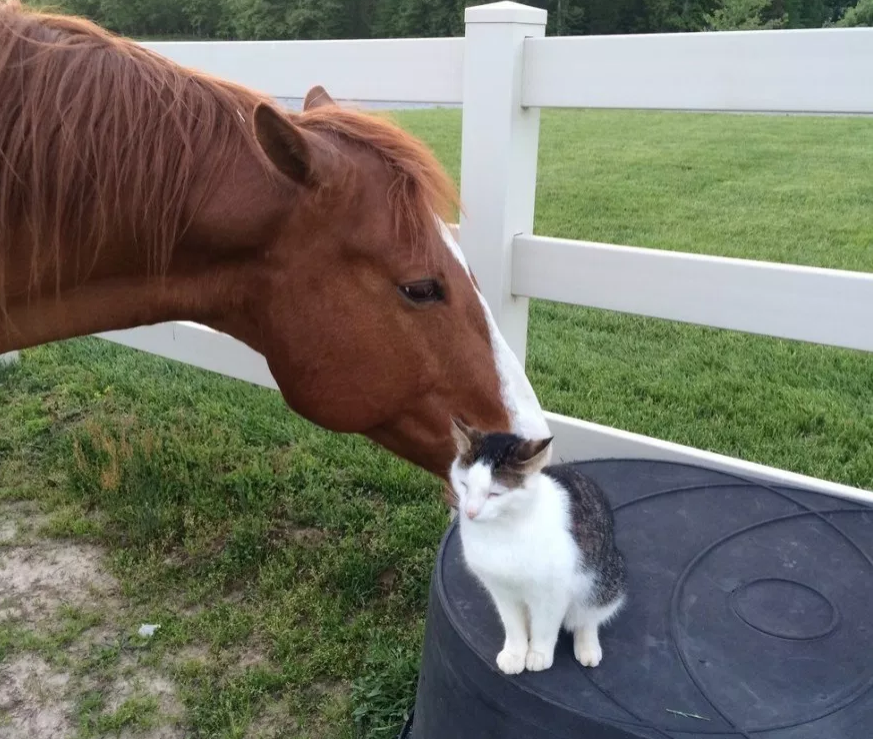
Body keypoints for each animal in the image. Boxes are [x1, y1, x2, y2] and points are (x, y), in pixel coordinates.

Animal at [450, 420, 628, 672]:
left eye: (495, 494)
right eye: (464, 484)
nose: (470, 511)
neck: (502, 529)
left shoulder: (553, 593)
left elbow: (544, 627)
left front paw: (538, 653)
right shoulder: (501, 590)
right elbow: (512, 625)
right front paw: (515, 653)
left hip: (606, 580)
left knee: (588, 616)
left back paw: (587, 644)